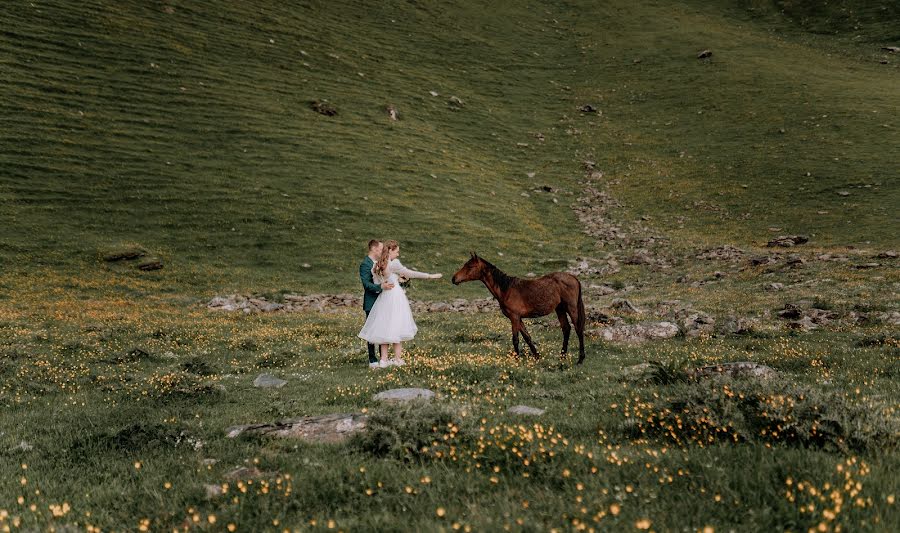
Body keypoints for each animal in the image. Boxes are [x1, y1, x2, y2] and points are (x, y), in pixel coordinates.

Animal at [454, 252, 588, 362]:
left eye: (470, 267)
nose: (454, 278)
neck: (506, 289)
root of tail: (574, 278)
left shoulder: (514, 317)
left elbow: (515, 339)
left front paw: (516, 359)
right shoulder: (519, 318)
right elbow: (527, 337)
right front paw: (537, 357)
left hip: (571, 308)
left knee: (578, 329)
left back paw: (580, 359)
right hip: (560, 309)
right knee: (566, 329)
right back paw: (562, 356)